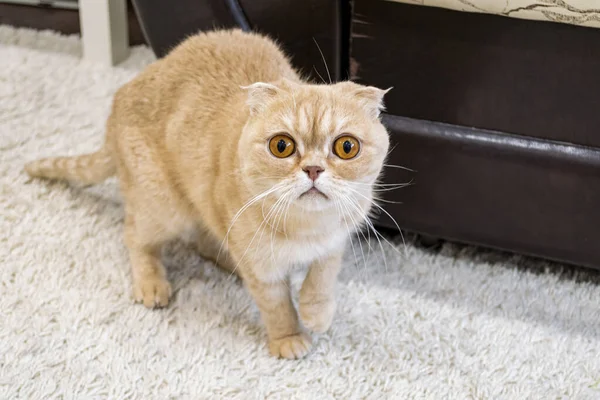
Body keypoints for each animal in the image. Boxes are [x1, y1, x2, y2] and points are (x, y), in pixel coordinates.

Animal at [23, 28, 392, 360]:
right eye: (282, 146)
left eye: (346, 147)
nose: (313, 169)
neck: (306, 229)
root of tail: (118, 102)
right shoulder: (263, 270)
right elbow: (277, 306)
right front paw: (288, 337)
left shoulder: (335, 242)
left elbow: (322, 278)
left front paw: (316, 313)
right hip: (164, 208)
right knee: (135, 236)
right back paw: (151, 281)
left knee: (205, 237)